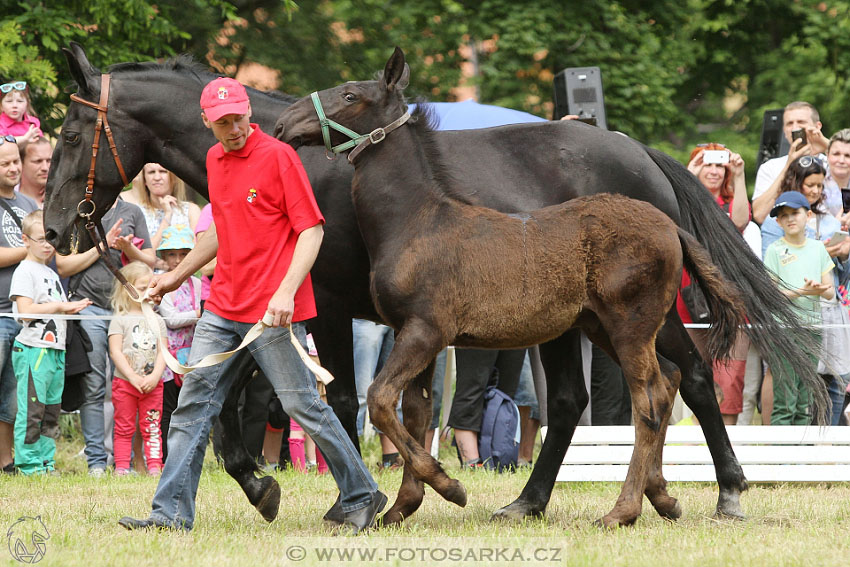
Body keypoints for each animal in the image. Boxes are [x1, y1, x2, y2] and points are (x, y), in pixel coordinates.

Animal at [41, 42, 820, 524]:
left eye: (74, 135)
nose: (55, 231)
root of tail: (643, 158)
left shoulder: (327, 308)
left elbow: (328, 399)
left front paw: (345, 498)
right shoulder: (303, 312)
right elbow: (238, 393)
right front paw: (265, 482)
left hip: (628, 318)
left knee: (682, 382)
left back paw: (720, 492)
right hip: (583, 322)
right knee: (593, 398)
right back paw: (547, 499)